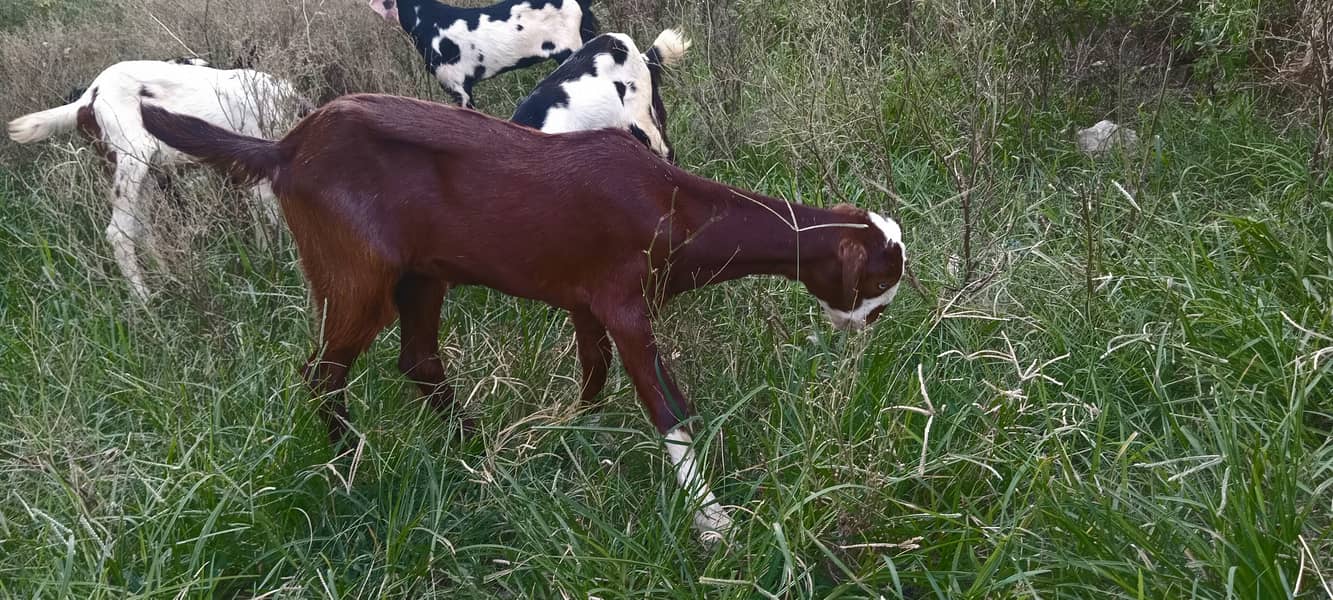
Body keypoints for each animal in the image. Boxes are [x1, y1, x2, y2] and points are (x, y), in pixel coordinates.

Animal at [8, 59, 305, 302]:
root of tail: (86, 100)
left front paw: (268, 257)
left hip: (145, 173)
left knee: (142, 229)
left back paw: (167, 278)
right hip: (132, 161)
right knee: (119, 232)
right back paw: (145, 301)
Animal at [137, 96, 906, 541]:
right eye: (875, 282)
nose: (870, 328)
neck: (676, 206)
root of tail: (286, 149)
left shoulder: (590, 304)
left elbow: (599, 374)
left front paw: (570, 437)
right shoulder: (624, 304)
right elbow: (667, 406)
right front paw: (712, 521)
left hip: (424, 275)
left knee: (417, 359)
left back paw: (478, 449)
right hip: (356, 275)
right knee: (322, 370)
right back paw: (349, 466)